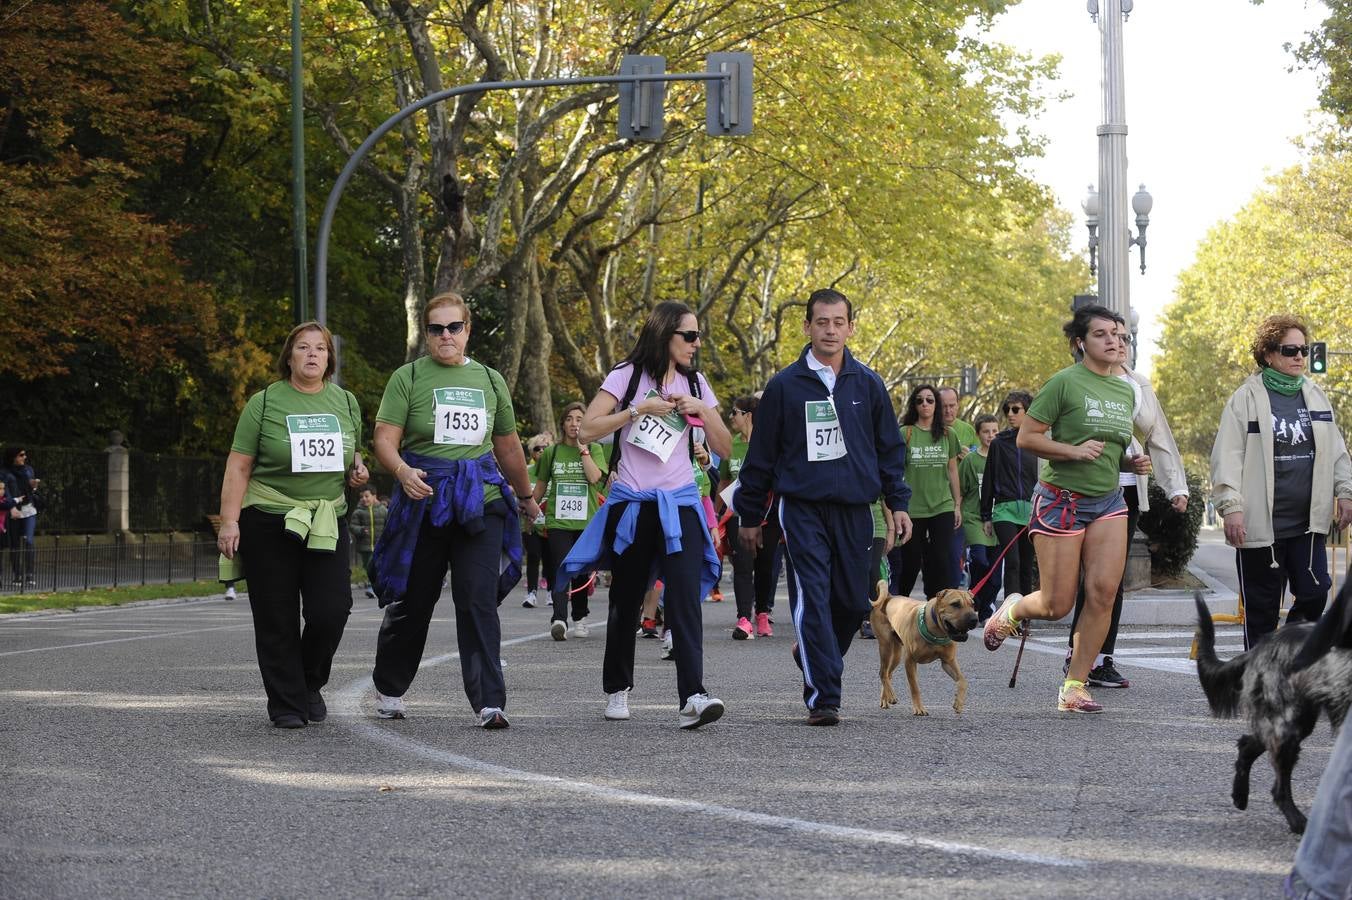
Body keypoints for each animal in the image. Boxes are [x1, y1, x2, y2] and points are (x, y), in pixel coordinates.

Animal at [870, 581, 978, 713]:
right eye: (955, 604)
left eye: (972, 604)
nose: (974, 619)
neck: (937, 632)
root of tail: (889, 597)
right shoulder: (910, 661)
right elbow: (915, 688)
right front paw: (919, 708)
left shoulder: (948, 661)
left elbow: (963, 681)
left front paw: (959, 702)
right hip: (886, 647)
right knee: (882, 673)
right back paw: (891, 696)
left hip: (896, 655)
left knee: (887, 674)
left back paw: (885, 698)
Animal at [1200, 586, 1346, 832]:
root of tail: (1262, 645)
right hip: (1289, 721)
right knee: (1278, 785)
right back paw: (1297, 821)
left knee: (1248, 744)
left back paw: (1240, 796)